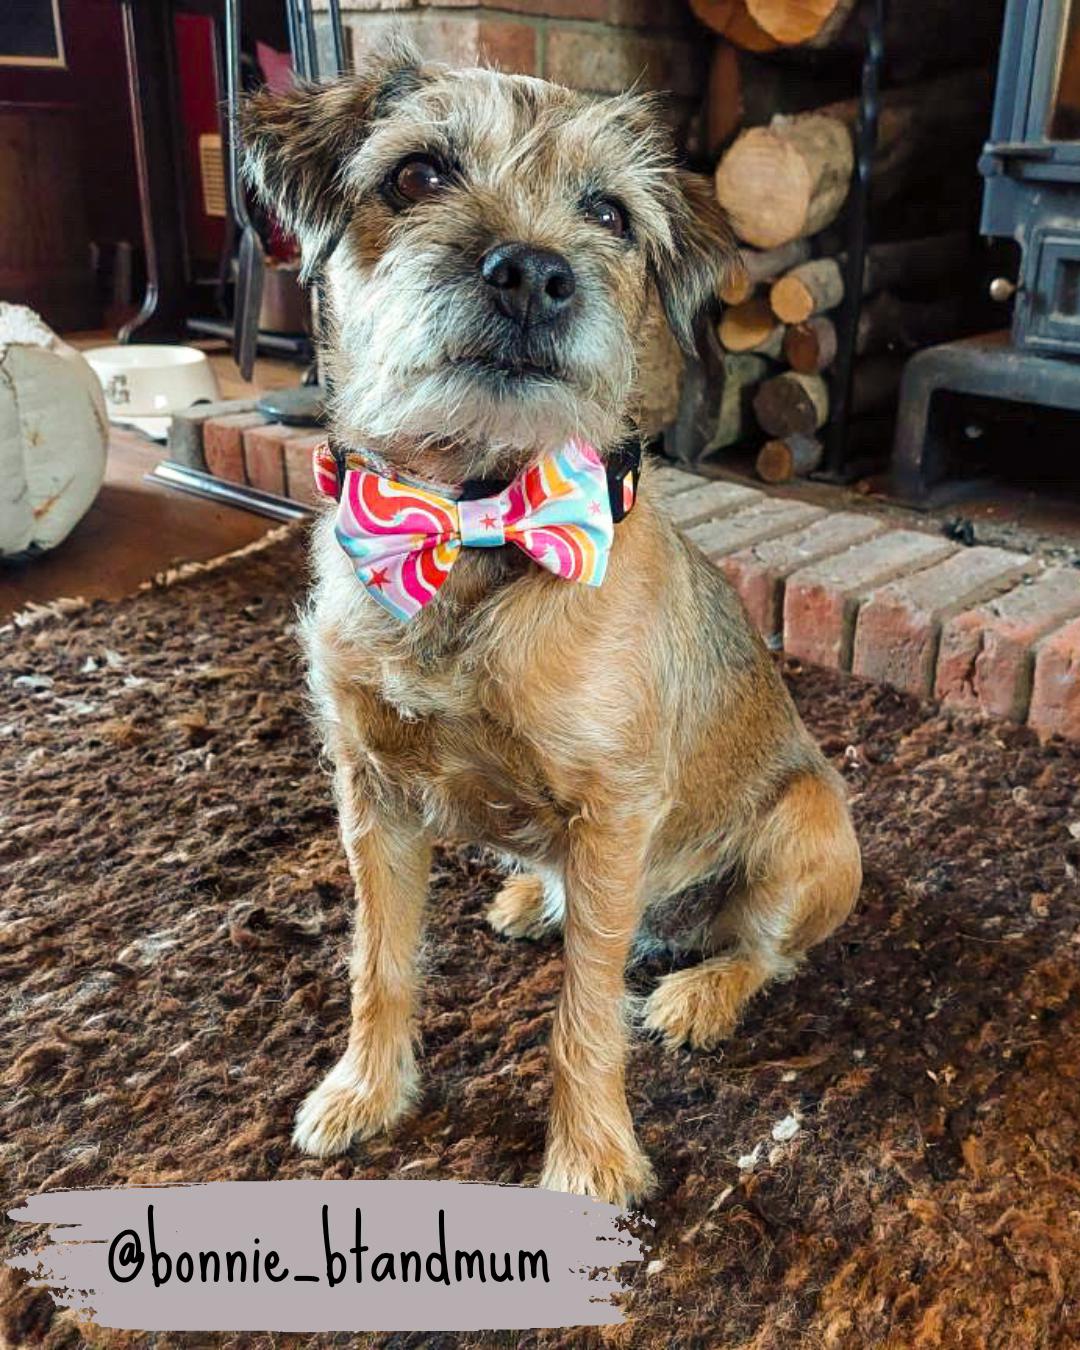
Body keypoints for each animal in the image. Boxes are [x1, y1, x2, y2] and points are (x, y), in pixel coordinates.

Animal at [243, 39, 858, 1204]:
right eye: (417, 176)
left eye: (609, 213)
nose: (532, 271)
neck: (475, 521)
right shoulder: (372, 795)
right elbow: (378, 962)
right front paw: (364, 1091)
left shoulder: (614, 812)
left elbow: (584, 1015)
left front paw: (589, 1161)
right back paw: (539, 897)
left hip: (809, 834)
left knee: (764, 953)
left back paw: (698, 993)